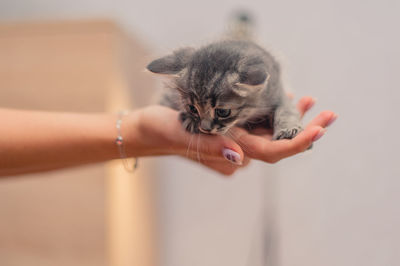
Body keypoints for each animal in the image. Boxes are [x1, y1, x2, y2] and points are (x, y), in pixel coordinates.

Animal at [147, 40, 304, 139]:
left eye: (222, 112)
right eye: (192, 108)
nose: (205, 128)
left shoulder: (277, 93)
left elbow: (286, 110)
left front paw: (288, 129)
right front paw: (190, 120)